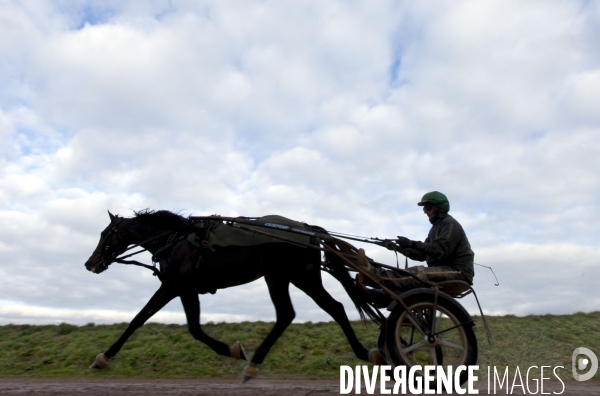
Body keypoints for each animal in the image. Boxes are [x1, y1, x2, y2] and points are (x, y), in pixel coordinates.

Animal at [84, 210, 380, 380]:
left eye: (105, 233)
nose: (90, 263)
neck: (176, 240)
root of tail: (307, 230)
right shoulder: (170, 287)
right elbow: (137, 320)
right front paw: (103, 358)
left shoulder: (185, 288)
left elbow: (194, 328)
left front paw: (232, 350)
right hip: (302, 277)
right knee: (336, 308)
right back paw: (365, 353)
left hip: (277, 275)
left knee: (286, 313)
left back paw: (253, 364)